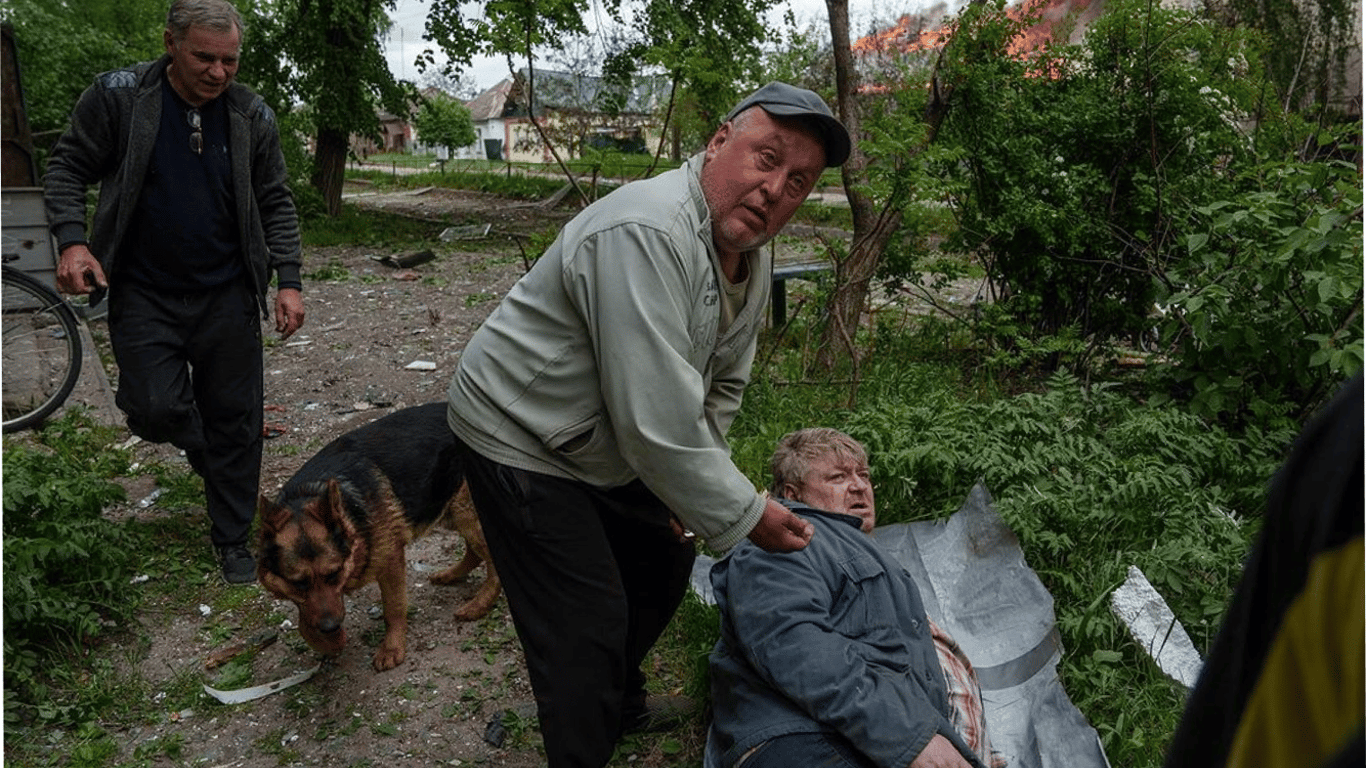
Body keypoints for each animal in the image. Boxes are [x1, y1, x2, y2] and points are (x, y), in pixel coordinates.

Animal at [255, 404, 497, 666]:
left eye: (333, 574)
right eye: (298, 583)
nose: (331, 627)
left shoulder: (390, 561)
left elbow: (393, 608)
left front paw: (391, 648)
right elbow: (306, 621)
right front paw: (326, 641)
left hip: (465, 512)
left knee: (494, 562)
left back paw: (480, 604)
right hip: (448, 508)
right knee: (475, 552)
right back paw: (451, 575)